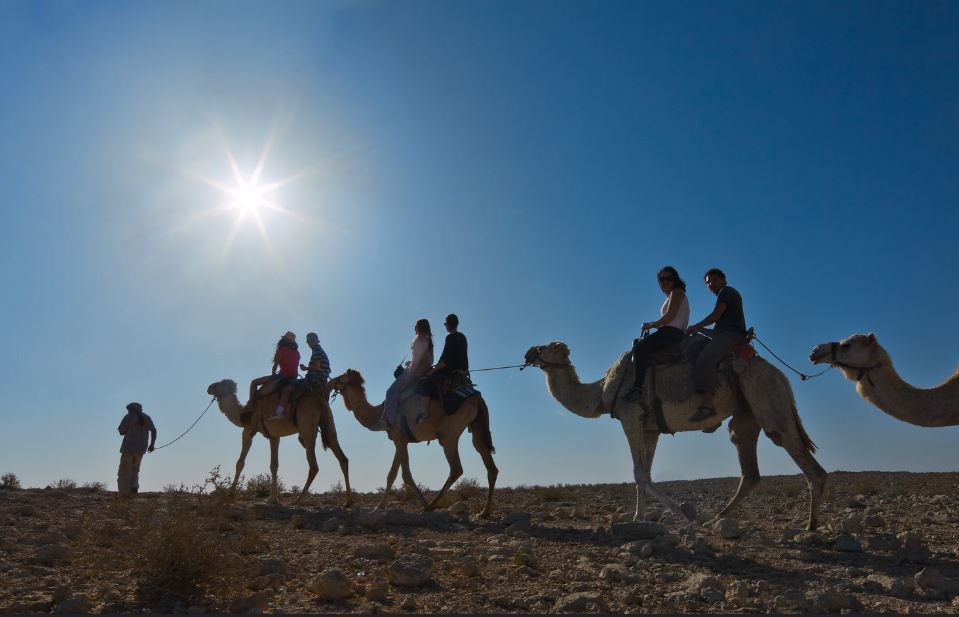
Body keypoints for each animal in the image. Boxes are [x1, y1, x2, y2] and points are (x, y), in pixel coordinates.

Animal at [206, 376, 352, 506]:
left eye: (221, 383)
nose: (209, 387)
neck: (242, 414)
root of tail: (318, 398)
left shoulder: (248, 430)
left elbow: (240, 462)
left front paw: (230, 496)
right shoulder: (274, 436)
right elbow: (274, 465)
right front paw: (272, 499)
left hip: (307, 427)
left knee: (314, 465)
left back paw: (297, 500)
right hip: (328, 422)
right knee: (342, 457)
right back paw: (347, 502)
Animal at [328, 368, 498, 516]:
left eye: (341, 377)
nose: (330, 382)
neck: (379, 413)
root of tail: (477, 398)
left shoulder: (399, 436)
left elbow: (406, 475)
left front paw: (423, 504)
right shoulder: (400, 439)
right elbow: (391, 474)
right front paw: (379, 506)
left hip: (448, 433)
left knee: (456, 468)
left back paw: (431, 505)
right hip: (477, 426)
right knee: (489, 463)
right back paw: (484, 512)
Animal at [520, 342, 828, 528]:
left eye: (548, 346)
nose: (528, 352)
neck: (603, 390)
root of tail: (782, 376)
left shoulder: (630, 415)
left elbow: (639, 473)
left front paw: (681, 513)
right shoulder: (650, 427)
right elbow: (645, 473)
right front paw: (639, 518)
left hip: (766, 399)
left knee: (807, 462)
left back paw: (810, 527)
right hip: (746, 416)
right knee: (749, 468)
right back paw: (716, 518)